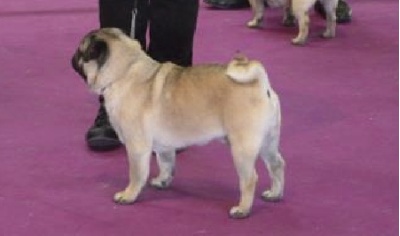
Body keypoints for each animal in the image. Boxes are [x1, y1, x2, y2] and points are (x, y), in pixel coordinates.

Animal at [71, 28, 284, 219]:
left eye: (81, 52)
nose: (72, 57)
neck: (125, 70)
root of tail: (260, 84)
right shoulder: (164, 147)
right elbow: (166, 163)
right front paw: (162, 181)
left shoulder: (136, 146)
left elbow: (136, 173)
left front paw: (129, 194)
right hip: (267, 143)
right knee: (277, 164)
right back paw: (275, 193)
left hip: (242, 148)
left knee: (250, 179)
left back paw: (242, 209)